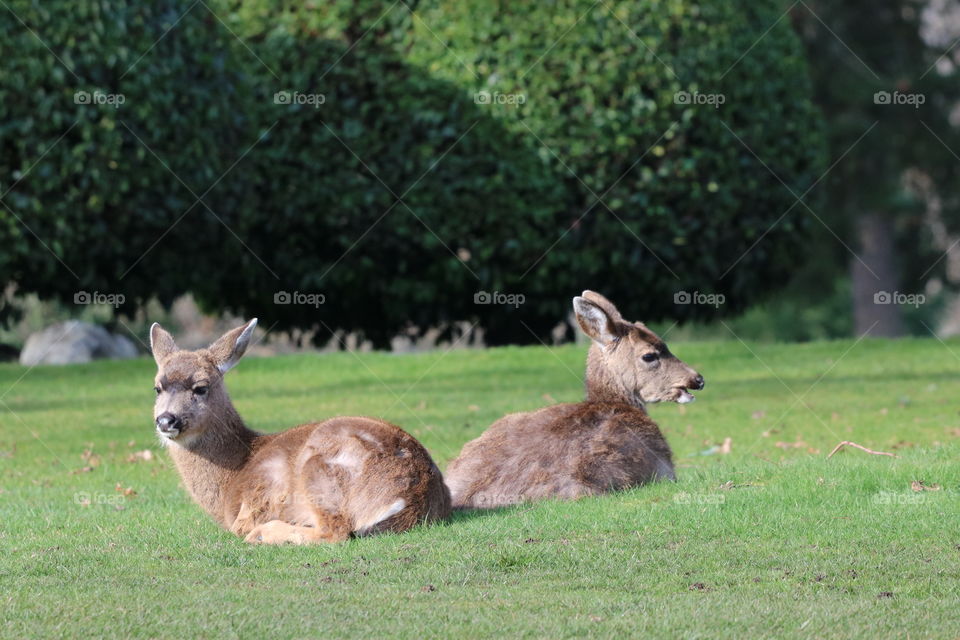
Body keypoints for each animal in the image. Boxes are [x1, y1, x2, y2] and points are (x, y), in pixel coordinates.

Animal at [148, 318, 452, 544]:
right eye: (157, 387)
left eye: (201, 387)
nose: (166, 420)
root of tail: (412, 497)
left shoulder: (259, 497)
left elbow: (242, 526)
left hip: (318, 467)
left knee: (336, 532)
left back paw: (263, 535)